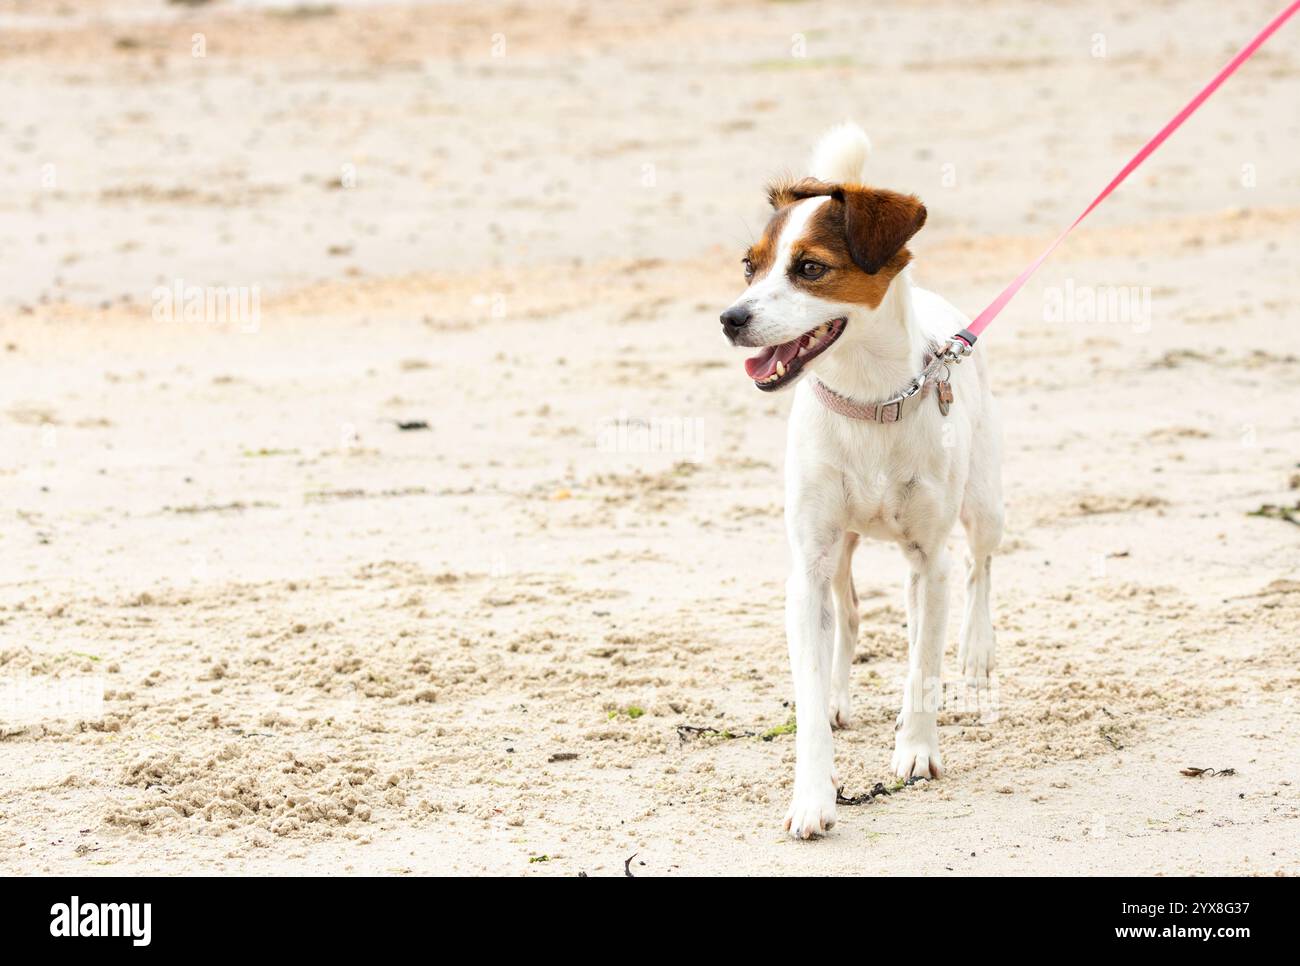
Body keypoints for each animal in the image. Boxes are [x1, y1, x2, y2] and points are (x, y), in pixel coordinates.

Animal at [722, 124, 1003, 837]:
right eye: (750, 266)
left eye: (810, 268)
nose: (730, 319)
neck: (869, 400)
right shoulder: (809, 564)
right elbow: (816, 679)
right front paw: (813, 794)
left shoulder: (929, 557)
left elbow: (924, 662)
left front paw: (916, 750)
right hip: (845, 546)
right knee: (849, 616)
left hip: (984, 505)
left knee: (979, 570)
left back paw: (975, 660)